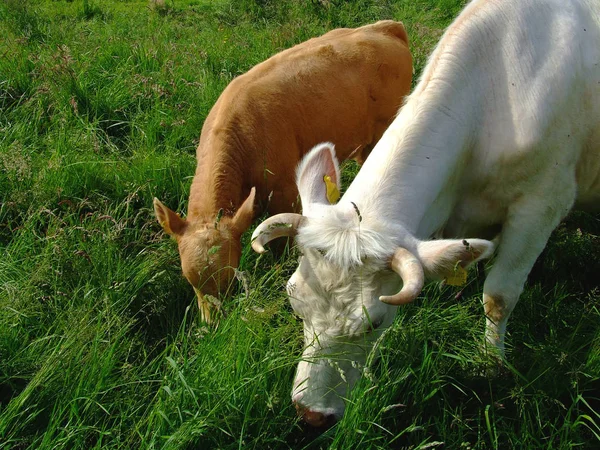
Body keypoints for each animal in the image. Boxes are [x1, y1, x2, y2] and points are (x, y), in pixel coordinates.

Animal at [252, 0, 600, 428]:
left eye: (373, 322)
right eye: (293, 300)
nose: (310, 414)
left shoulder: (543, 202)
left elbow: (498, 296)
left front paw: (491, 363)